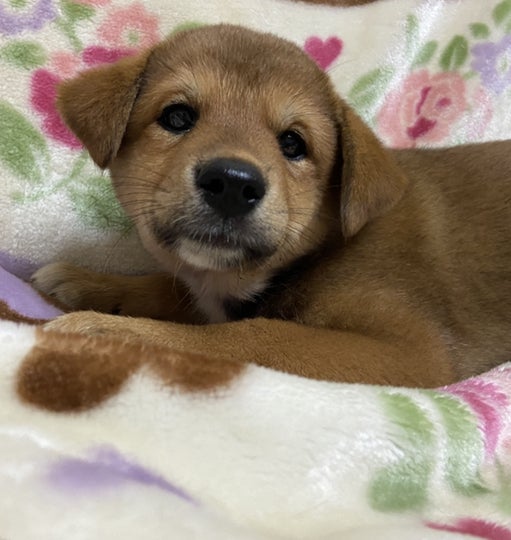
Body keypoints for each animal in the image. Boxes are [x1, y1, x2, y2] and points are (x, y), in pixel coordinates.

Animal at [31, 24, 511, 388]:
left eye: (293, 143)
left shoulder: (410, 351)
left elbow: (244, 336)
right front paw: (90, 283)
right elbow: (170, 289)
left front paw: (110, 333)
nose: (231, 183)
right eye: (177, 117)